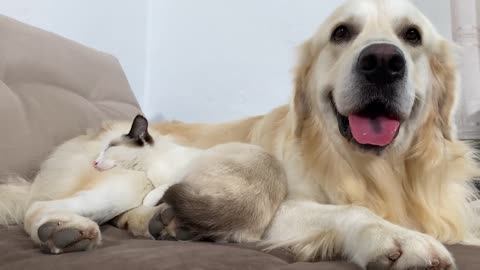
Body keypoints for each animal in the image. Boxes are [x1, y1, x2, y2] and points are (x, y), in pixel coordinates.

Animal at [0, 0, 480, 270]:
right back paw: (64, 228)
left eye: (412, 35)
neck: (379, 171)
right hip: (120, 181)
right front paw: (396, 238)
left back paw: (158, 223)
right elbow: (351, 212)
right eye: (342, 32)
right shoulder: (277, 211)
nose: (382, 62)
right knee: (43, 206)